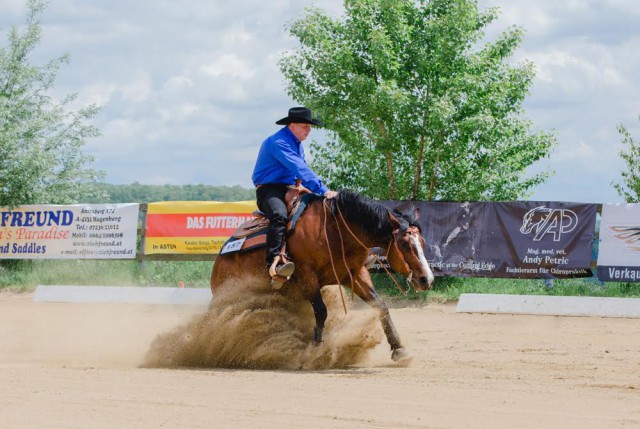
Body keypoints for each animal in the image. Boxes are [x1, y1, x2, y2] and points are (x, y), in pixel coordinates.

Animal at [210, 189, 436, 360]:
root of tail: (220, 257)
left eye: (423, 242)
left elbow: (379, 305)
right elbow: (321, 312)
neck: (335, 229)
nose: (427, 279)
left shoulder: (355, 274)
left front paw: (399, 348)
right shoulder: (306, 275)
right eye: (405, 244)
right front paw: (315, 350)